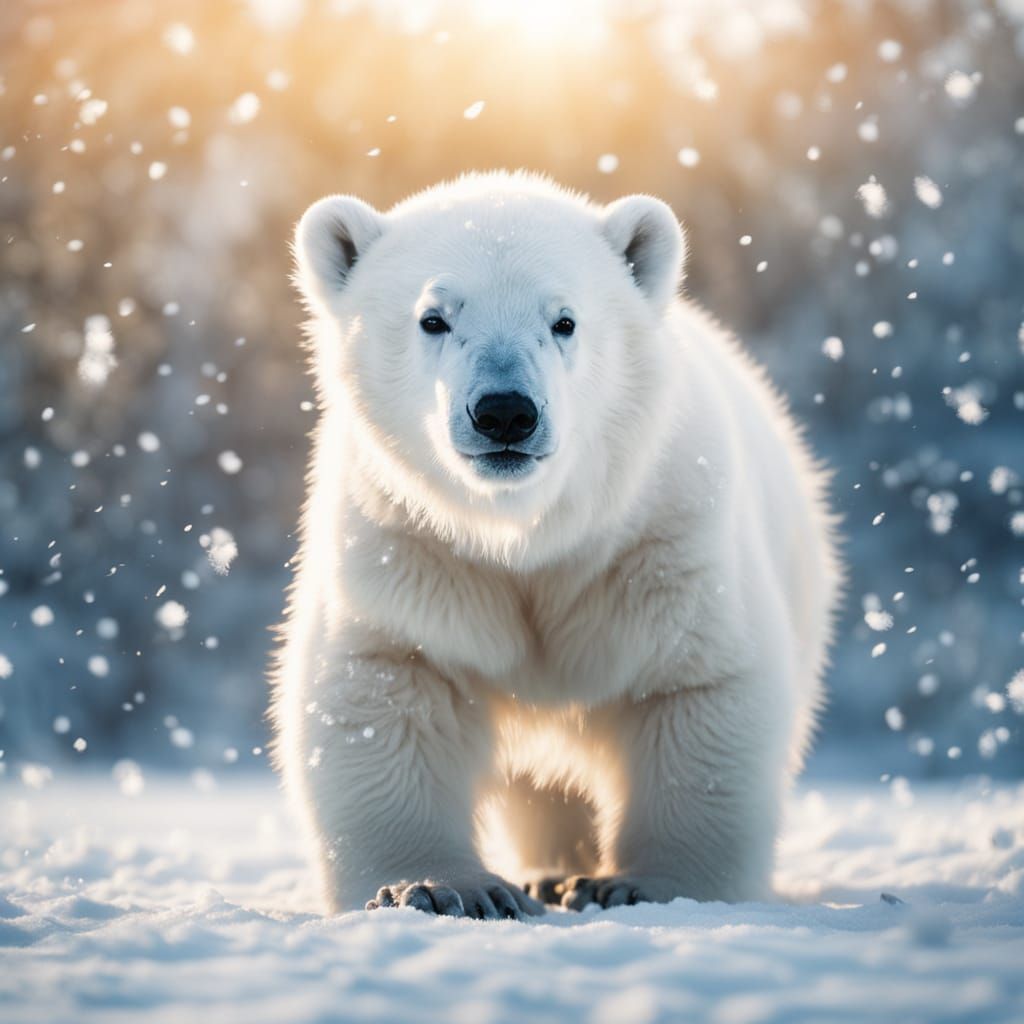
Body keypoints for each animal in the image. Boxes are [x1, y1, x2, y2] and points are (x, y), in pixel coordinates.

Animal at [270, 171, 841, 919]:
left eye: (563, 320)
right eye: (434, 318)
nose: (504, 412)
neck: (531, 533)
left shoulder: (663, 537)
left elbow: (698, 683)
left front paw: (646, 884)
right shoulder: (410, 547)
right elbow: (386, 683)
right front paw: (437, 887)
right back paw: (546, 873)